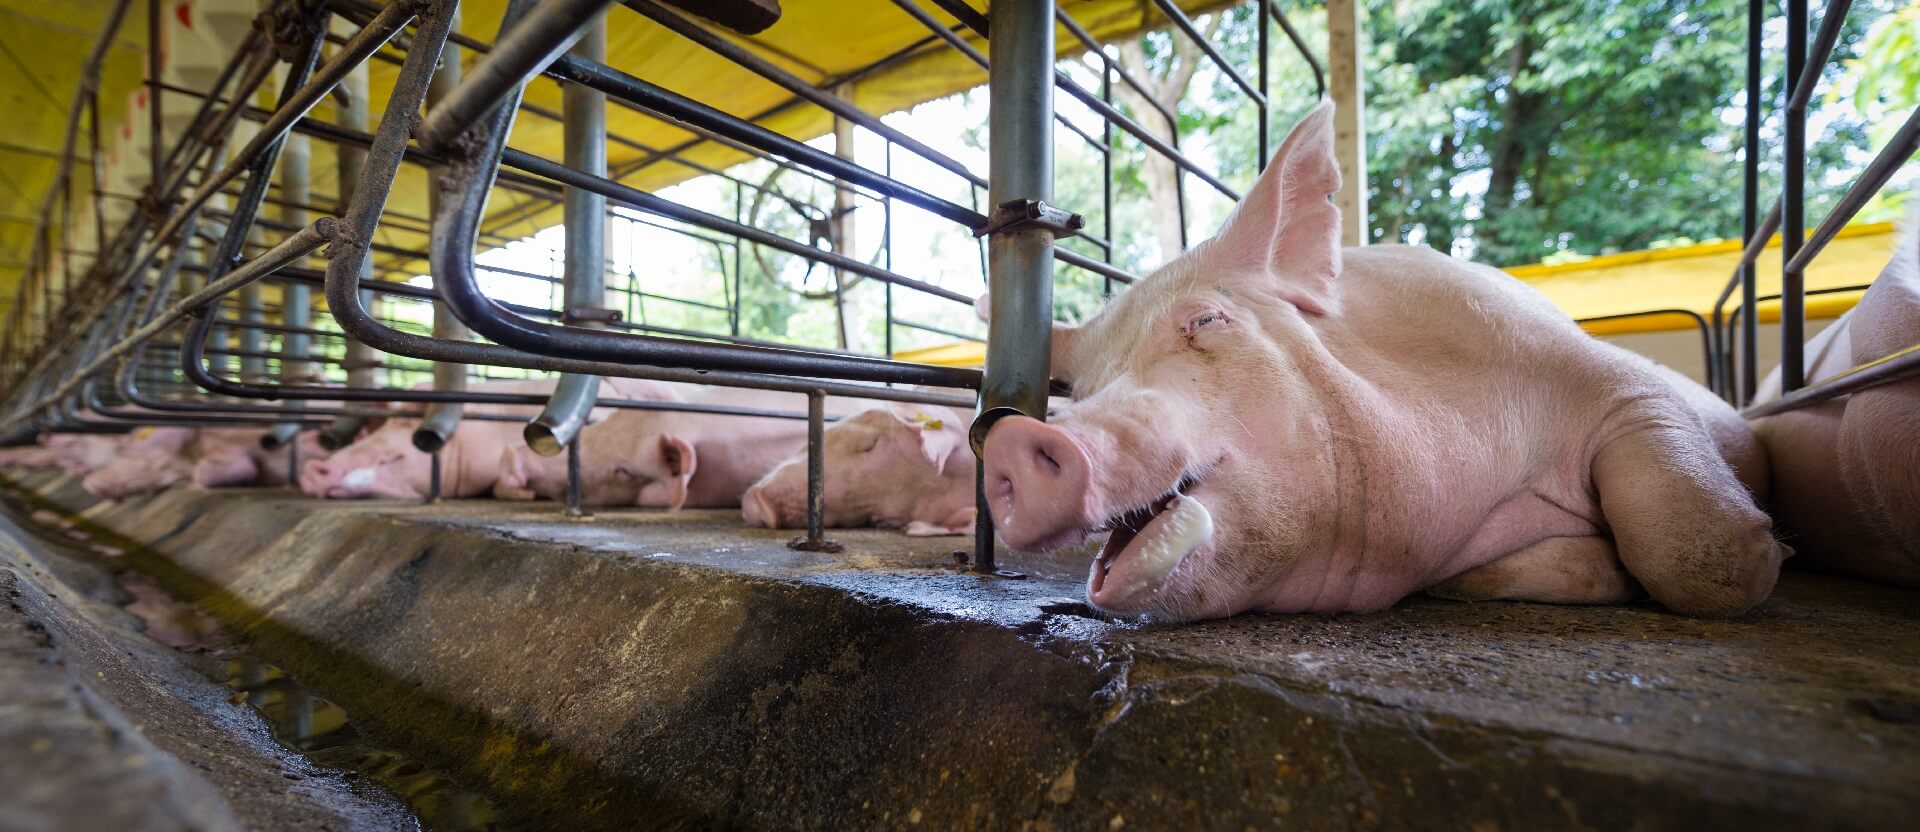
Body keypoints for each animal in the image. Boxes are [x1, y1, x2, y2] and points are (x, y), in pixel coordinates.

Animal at [975, 103, 1781, 618]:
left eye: (1206, 320)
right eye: (1082, 386)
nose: (1013, 438)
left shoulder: (1613, 380)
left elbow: (1693, 559)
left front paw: (1770, 554)